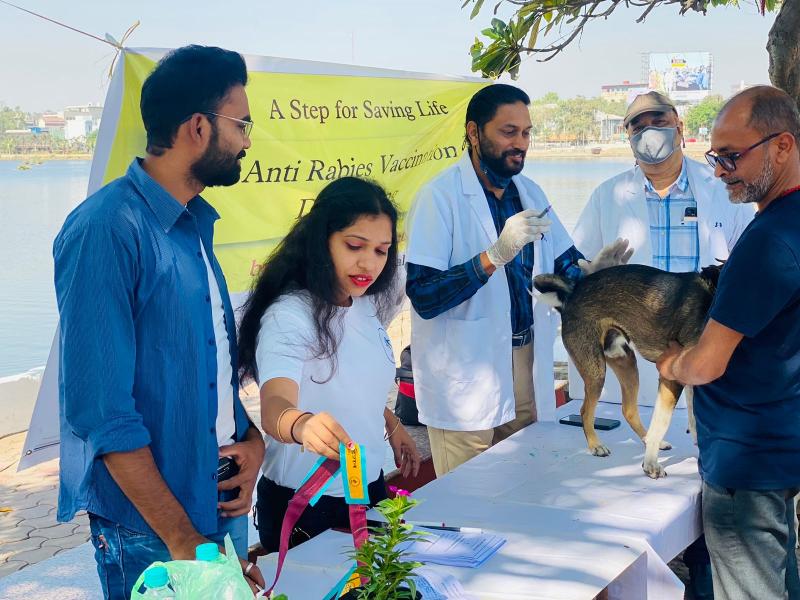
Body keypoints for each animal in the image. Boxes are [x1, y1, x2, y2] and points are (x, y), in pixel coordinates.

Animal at [536, 262, 720, 478]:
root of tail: (573, 292)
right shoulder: (670, 376)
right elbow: (662, 422)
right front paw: (650, 464)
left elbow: (693, 417)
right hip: (596, 371)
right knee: (585, 410)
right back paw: (596, 445)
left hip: (626, 362)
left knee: (629, 409)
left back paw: (645, 438)